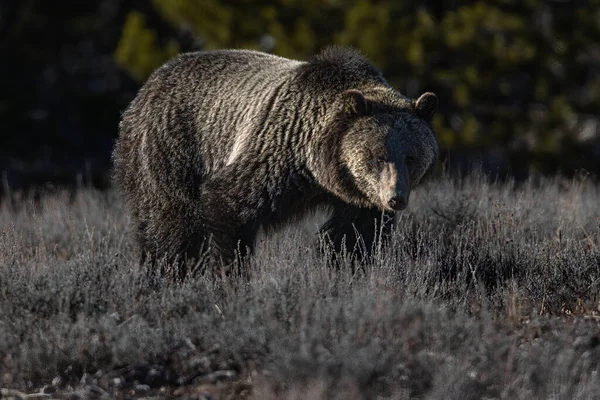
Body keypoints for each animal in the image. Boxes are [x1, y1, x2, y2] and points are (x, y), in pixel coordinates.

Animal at [112, 46, 438, 272]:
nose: (396, 198)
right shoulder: (276, 153)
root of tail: (151, 81)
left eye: (411, 157)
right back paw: (164, 272)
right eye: (378, 156)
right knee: (169, 223)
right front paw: (229, 274)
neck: (320, 169)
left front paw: (346, 270)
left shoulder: (359, 198)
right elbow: (229, 205)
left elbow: (353, 237)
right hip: (169, 148)